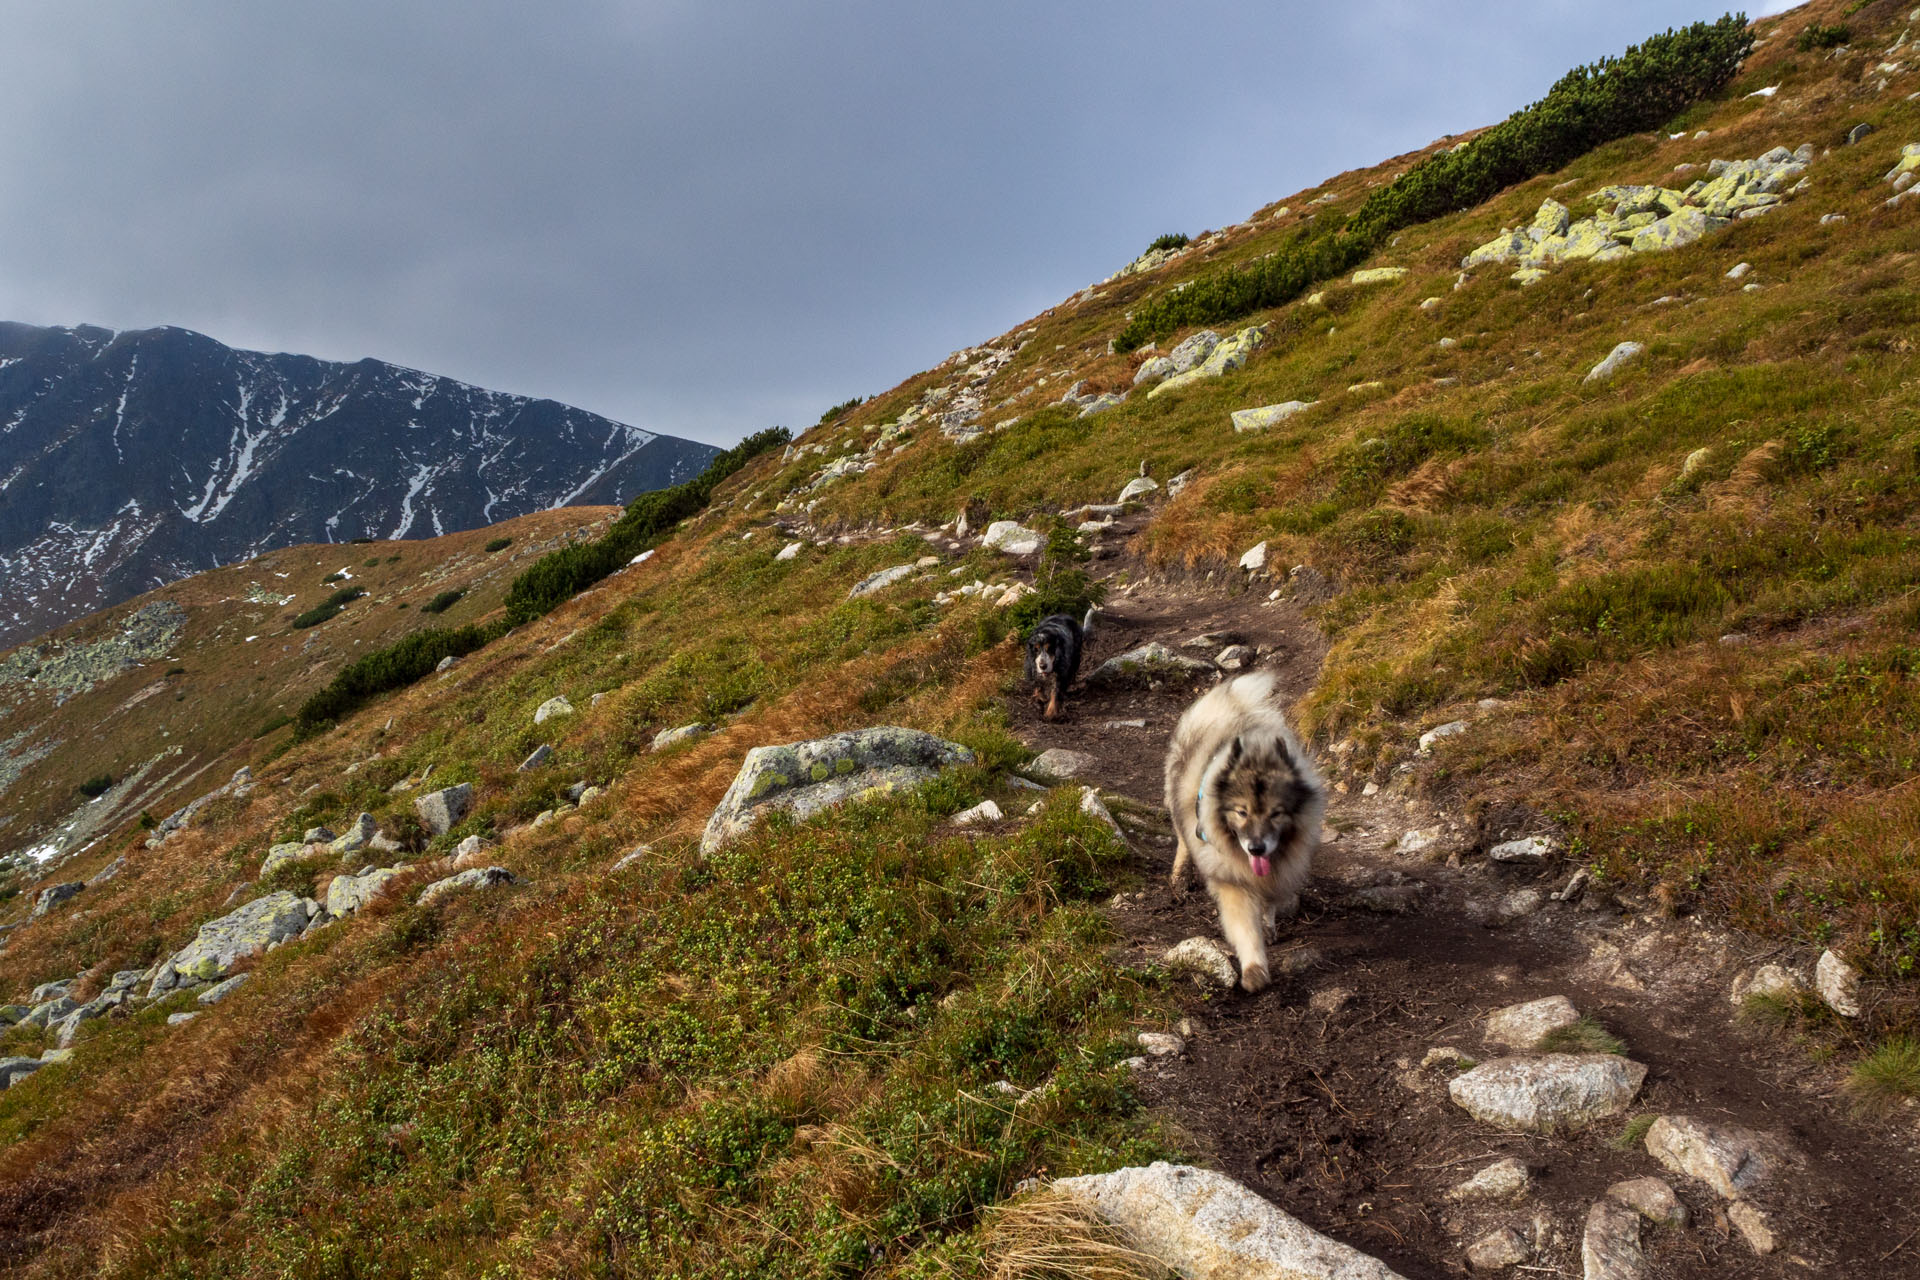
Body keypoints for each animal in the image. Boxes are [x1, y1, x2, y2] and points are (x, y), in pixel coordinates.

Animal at [1159, 675, 1328, 997]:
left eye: (1276, 813)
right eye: (1241, 812)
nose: (1256, 848)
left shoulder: (1277, 871)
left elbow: (1269, 904)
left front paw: (1269, 926)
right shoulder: (1232, 881)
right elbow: (1245, 929)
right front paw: (1254, 970)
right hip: (1178, 807)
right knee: (1182, 840)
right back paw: (1179, 878)